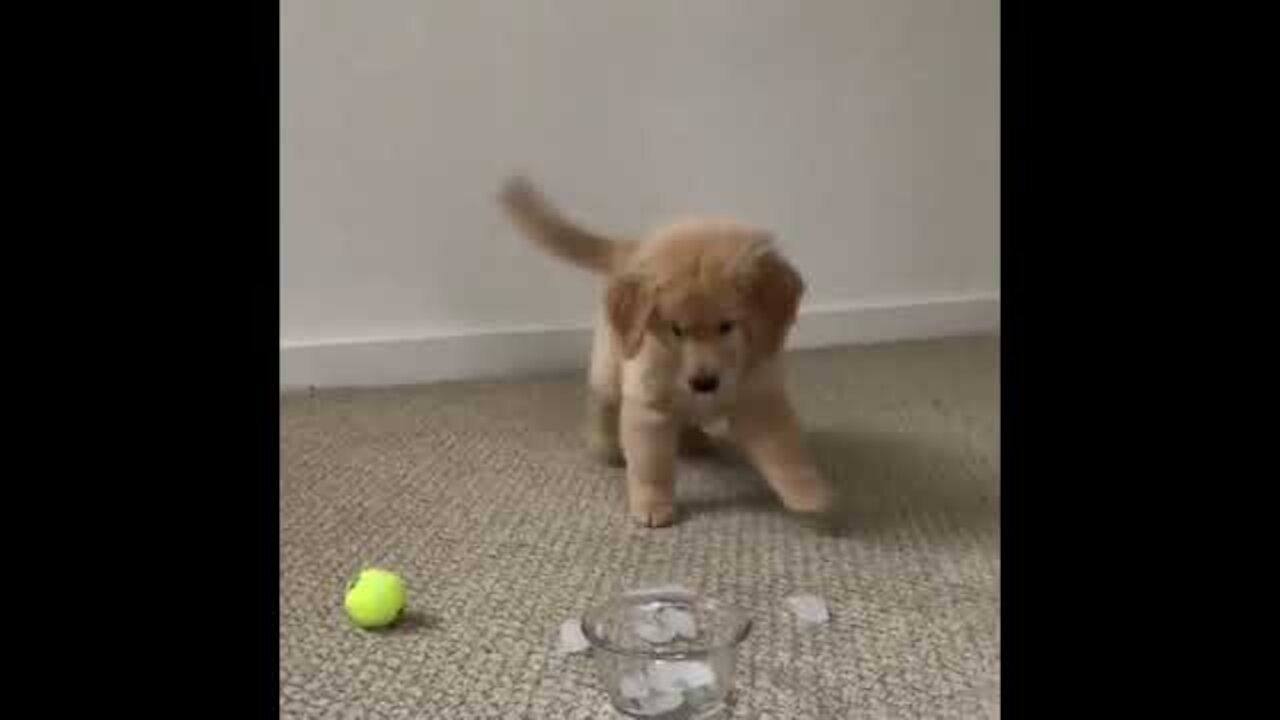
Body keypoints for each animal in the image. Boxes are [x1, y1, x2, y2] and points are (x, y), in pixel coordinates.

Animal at [494, 176, 834, 525]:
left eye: (727, 325)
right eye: (676, 330)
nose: (703, 383)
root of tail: (631, 249)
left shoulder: (760, 399)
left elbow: (786, 450)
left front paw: (808, 492)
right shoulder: (649, 408)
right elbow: (651, 465)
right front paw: (652, 504)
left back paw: (694, 439)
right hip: (609, 365)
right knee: (602, 402)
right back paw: (606, 447)